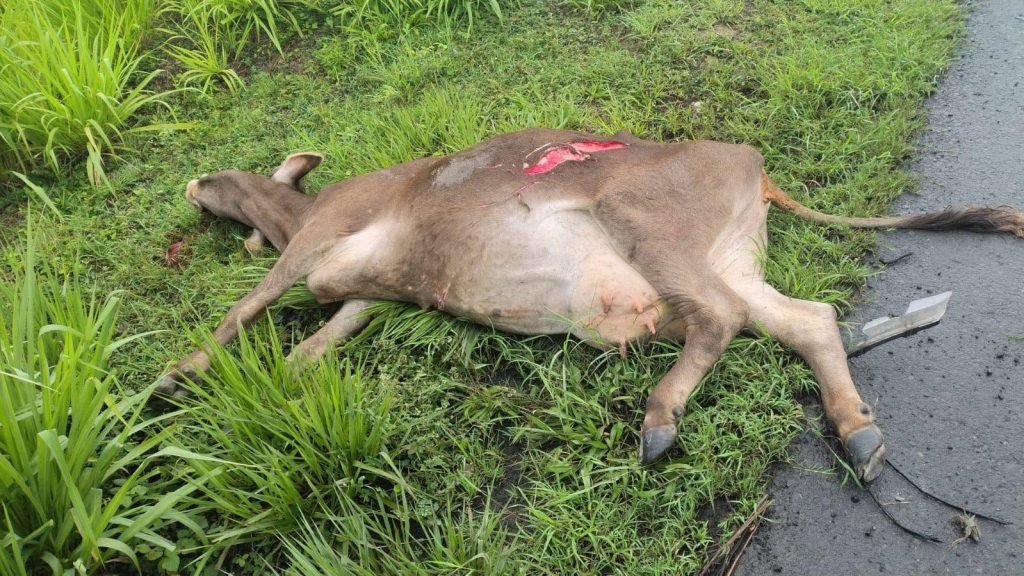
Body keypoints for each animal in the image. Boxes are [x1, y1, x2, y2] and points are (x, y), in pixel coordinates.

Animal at [156, 128, 1024, 482]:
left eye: (222, 177)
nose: (190, 184)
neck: (302, 211)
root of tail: (754, 165)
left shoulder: (319, 237)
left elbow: (254, 303)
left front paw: (178, 375)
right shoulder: (355, 285)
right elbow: (322, 332)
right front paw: (292, 375)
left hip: (646, 227)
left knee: (721, 319)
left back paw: (660, 418)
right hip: (730, 257)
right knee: (803, 319)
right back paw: (858, 433)